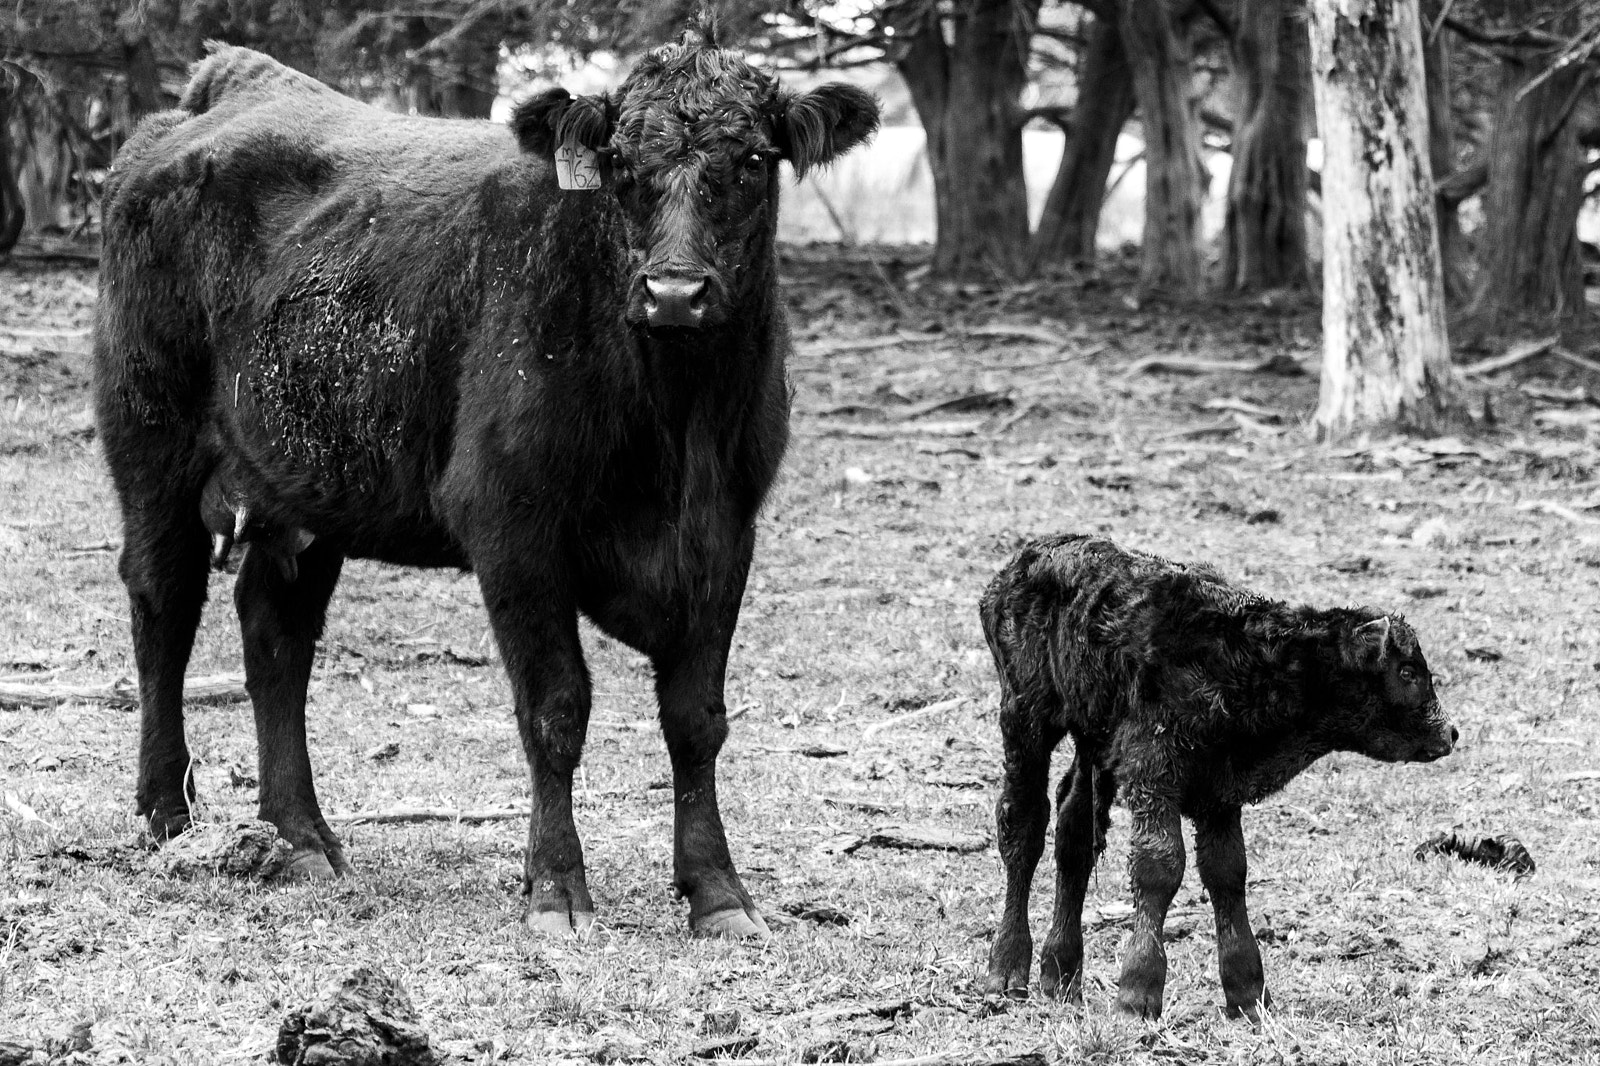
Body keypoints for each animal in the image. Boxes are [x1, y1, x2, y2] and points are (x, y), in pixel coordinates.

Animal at [92, 26, 878, 939]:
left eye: (752, 159)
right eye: (618, 162)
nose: (675, 292)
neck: (674, 429)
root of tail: (219, 91)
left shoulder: (727, 533)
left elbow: (696, 720)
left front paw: (717, 891)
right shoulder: (512, 526)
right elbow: (556, 709)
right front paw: (557, 889)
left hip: (308, 481)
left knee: (275, 636)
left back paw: (303, 837)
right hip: (151, 444)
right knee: (164, 605)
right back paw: (167, 812)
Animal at [978, 535, 1457, 1018]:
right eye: (1407, 672)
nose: (1449, 733)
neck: (1252, 660)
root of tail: (1024, 561)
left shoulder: (1220, 793)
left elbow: (1227, 872)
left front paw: (1248, 995)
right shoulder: (1154, 777)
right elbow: (1160, 867)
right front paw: (1137, 992)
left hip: (1091, 743)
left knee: (1074, 834)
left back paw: (1060, 978)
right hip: (1024, 721)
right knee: (1024, 827)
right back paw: (1007, 973)